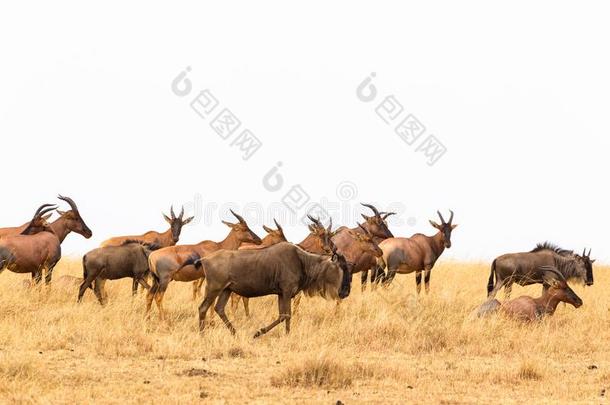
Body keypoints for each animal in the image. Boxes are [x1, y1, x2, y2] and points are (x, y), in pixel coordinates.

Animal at [198, 241, 352, 336]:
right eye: (342, 267)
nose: (346, 292)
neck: (302, 261)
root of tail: (205, 259)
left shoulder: (281, 294)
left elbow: (282, 316)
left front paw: (259, 333)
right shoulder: (287, 291)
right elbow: (287, 315)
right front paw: (278, 334)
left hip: (226, 290)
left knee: (219, 308)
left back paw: (235, 333)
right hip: (214, 289)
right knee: (203, 308)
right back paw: (202, 334)